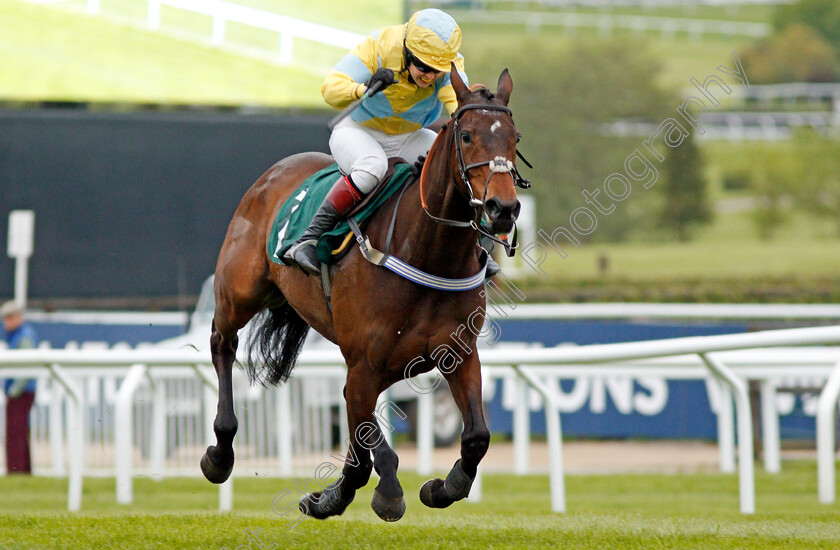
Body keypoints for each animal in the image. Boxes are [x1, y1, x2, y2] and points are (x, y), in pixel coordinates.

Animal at [200, 67, 520, 524]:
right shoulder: (364, 365)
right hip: (237, 293)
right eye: (467, 135)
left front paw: (442, 487)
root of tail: (276, 172)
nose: (503, 208)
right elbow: (373, 450)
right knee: (222, 344)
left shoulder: (457, 353)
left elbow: (475, 435)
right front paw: (380, 493)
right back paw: (220, 452)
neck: (427, 252)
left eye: (515, 138)